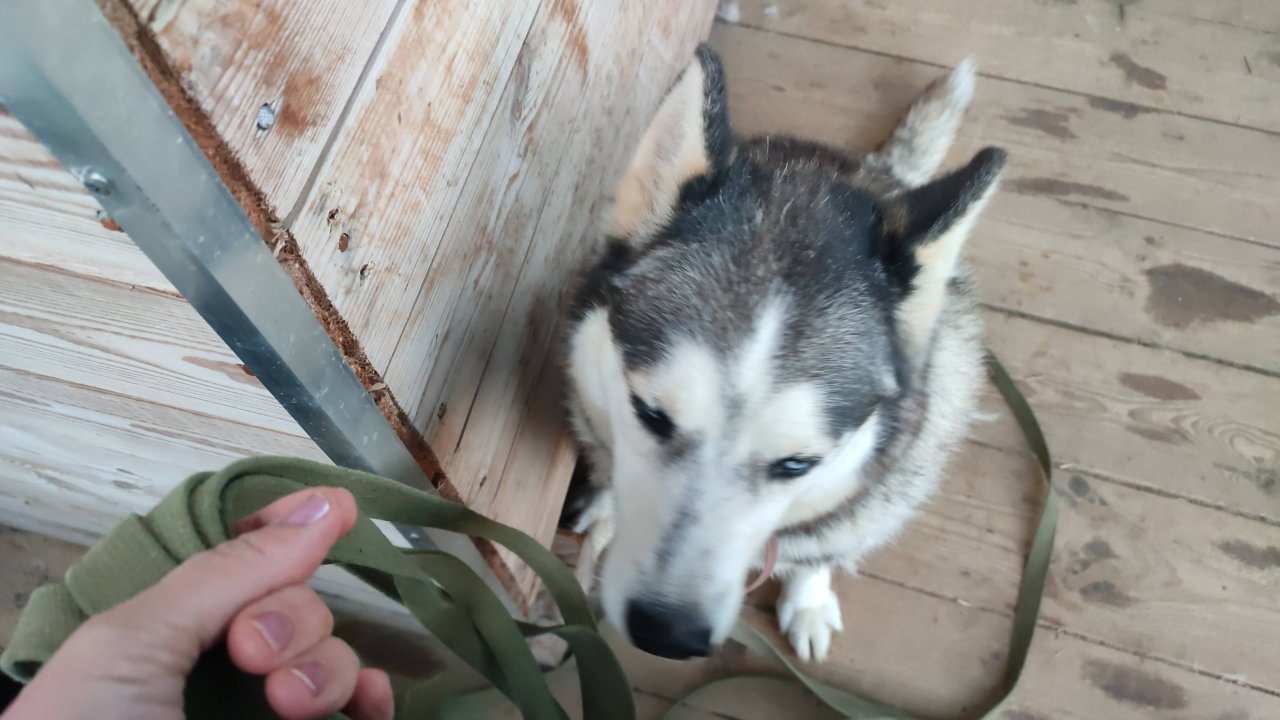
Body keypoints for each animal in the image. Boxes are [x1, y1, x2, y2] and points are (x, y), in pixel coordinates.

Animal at [562, 44, 1004, 663]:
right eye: (650, 415)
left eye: (797, 464)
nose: (669, 634)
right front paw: (605, 500)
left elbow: (817, 554)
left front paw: (809, 599)